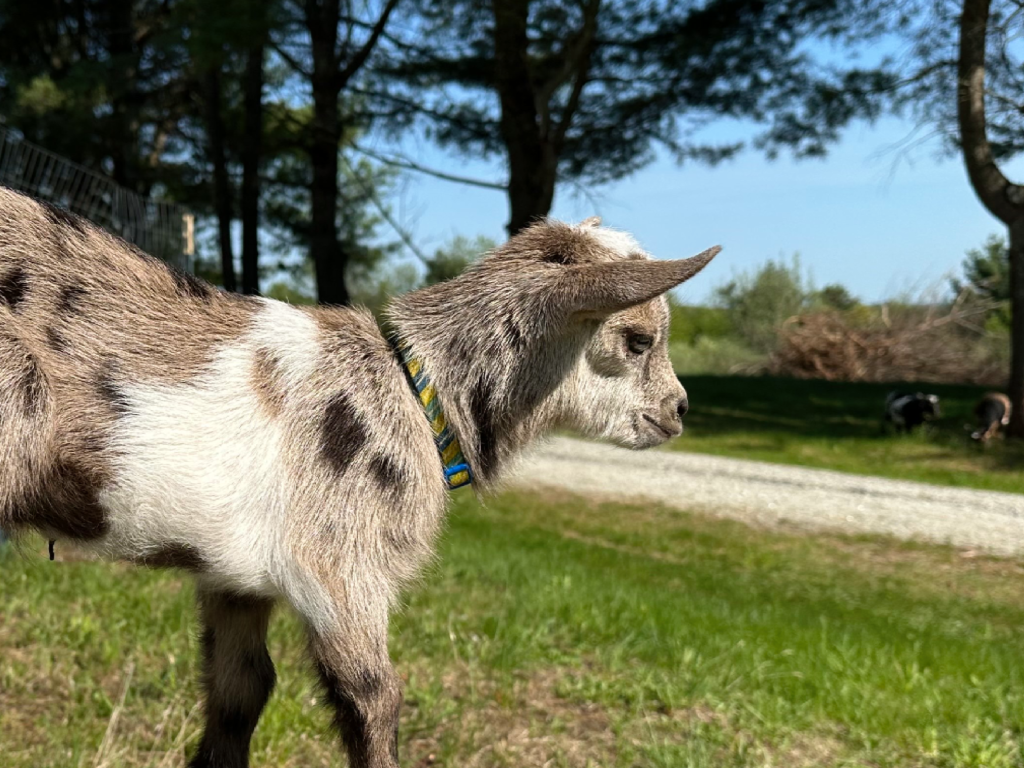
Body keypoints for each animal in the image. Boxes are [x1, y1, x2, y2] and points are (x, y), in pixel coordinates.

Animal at [0, 186, 719, 768]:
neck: (413, 390)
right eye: (636, 340)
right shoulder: (342, 568)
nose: (679, 410)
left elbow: (240, 692)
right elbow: (376, 698)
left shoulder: (236, 580)